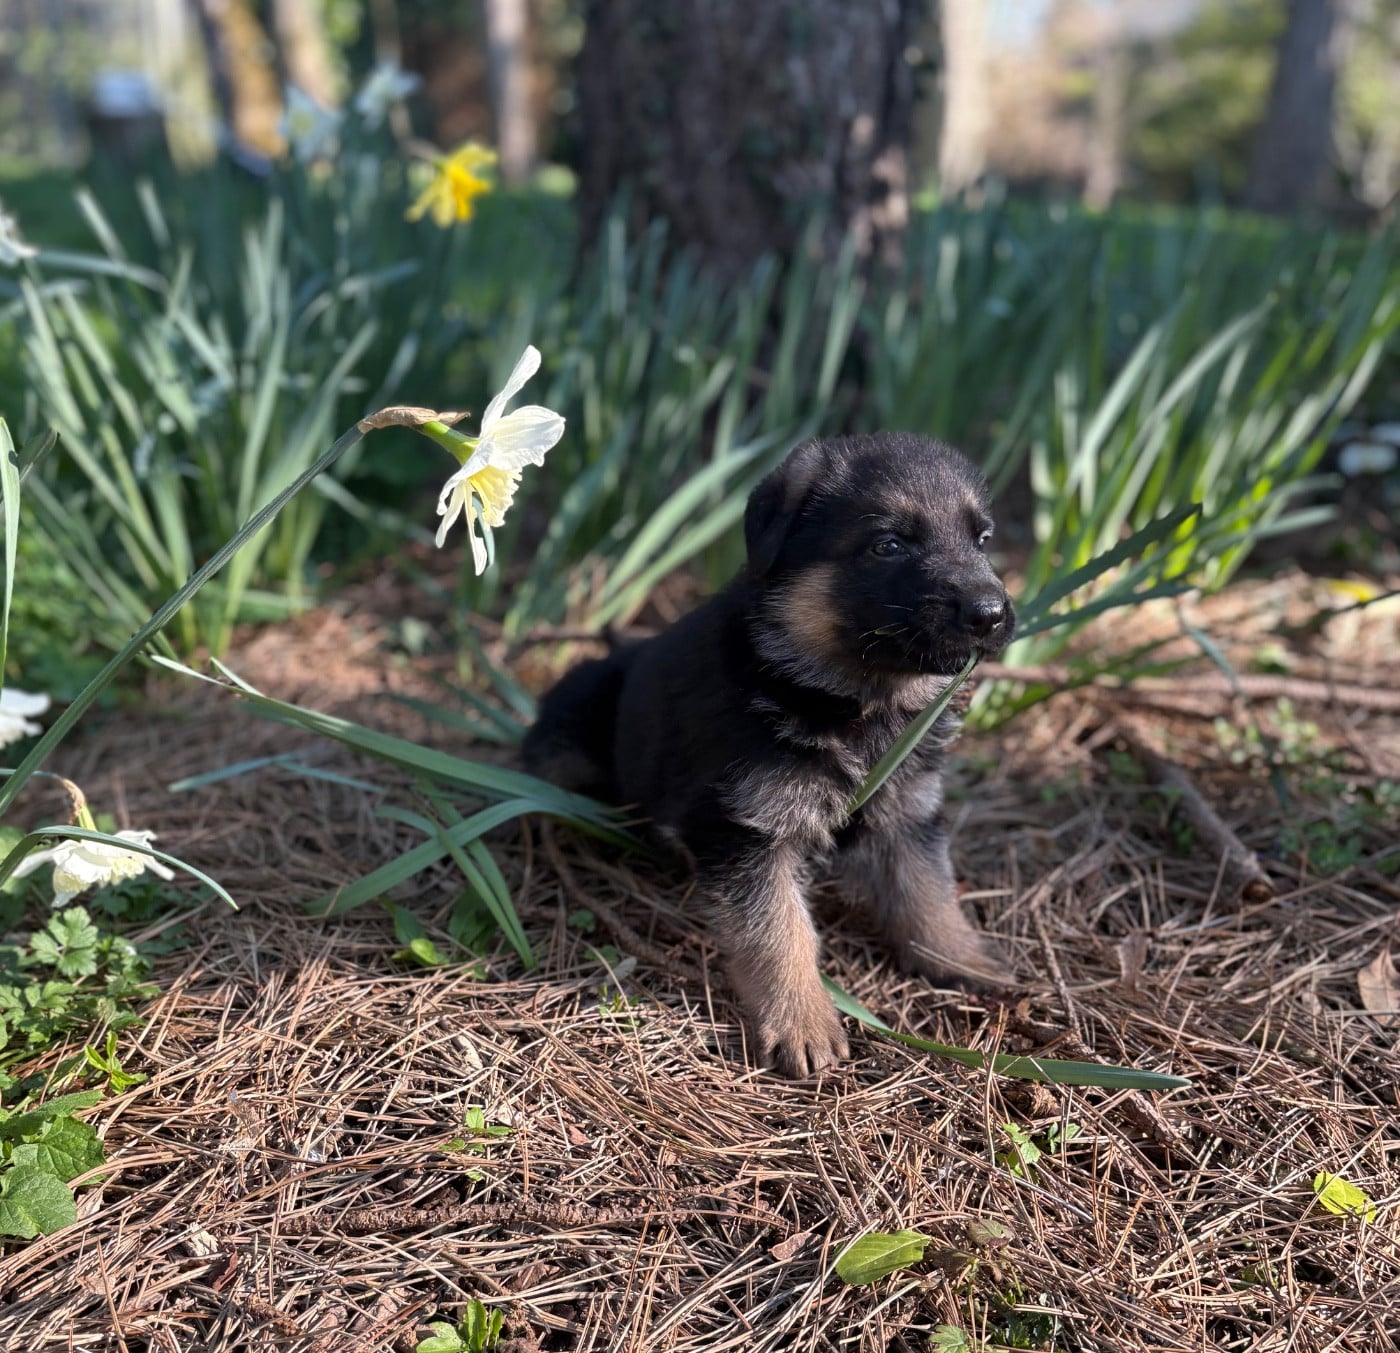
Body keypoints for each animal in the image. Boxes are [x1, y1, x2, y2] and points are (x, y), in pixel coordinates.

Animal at [523, 433, 1016, 1075]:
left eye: (982, 539)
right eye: (888, 545)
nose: (991, 614)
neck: (847, 697)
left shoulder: (908, 810)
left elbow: (928, 891)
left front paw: (962, 960)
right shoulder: (745, 829)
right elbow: (778, 931)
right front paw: (803, 1021)